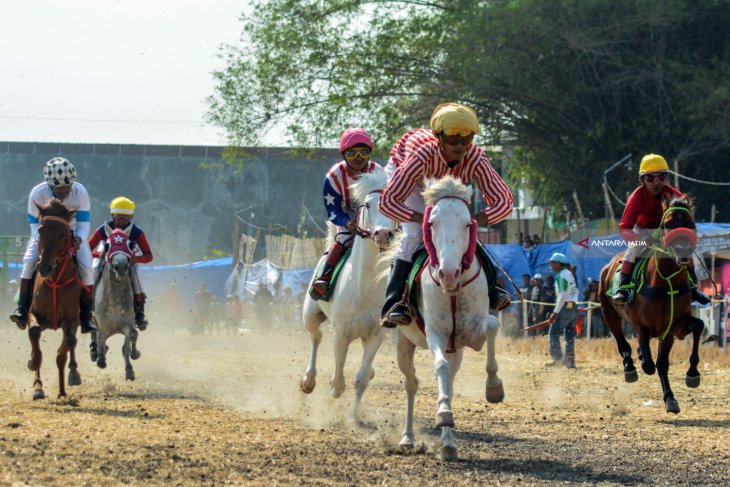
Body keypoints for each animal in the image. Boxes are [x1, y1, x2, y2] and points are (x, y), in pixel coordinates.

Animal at [26, 198, 83, 400]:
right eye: (41, 229)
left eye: (61, 234)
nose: (44, 268)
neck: (56, 282)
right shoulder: (35, 314)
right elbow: (34, 333)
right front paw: (33, 365)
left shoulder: (71, 319)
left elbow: (63, 351)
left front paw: (63, 390)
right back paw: (38, 386)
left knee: (71, 344)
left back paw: (72, 376)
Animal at [90, 229, 141, 382]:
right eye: (107, 246)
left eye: (130, 244)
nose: (121, 266)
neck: (115, 302)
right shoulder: (101, 326)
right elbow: (100, 342)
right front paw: (100, 357)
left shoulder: (128, 322)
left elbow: (130, 339)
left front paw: (131, 367)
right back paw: (94, 352)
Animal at [298, 172, 396, 420]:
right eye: (368, 205)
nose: (383, 234)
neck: (364, 288)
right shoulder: (341, 333)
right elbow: (339, 378)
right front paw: (334, 388)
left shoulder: (376, 334)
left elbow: (360, 379)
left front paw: (353, 417)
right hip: (310, 315)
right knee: (315, 337)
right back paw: (308, 381)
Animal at [390, 175, 504, 462]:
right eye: (432, 222)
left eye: (467, 224)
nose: (448, 273)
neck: (453, 291)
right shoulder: (435, 333)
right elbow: (439, 366)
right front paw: (442, 413)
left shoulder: (469, 335)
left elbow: (492, 325)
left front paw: (494, 388)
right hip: (403, 344)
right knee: (412, 384)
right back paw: (408, 439)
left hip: (457, 351)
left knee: (449, 383)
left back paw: (448, 445)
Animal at [596, 194, 704, 416]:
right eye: (668, 224)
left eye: (690, 224)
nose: (684, 252)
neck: (665, 283)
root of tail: (609, 265)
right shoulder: (641, 326)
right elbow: (649, 363)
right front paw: (641, 360)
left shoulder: (673, 327)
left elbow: (695, 329)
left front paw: (685, 382)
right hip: (608, 312)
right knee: (622, 342)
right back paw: (629, 366)